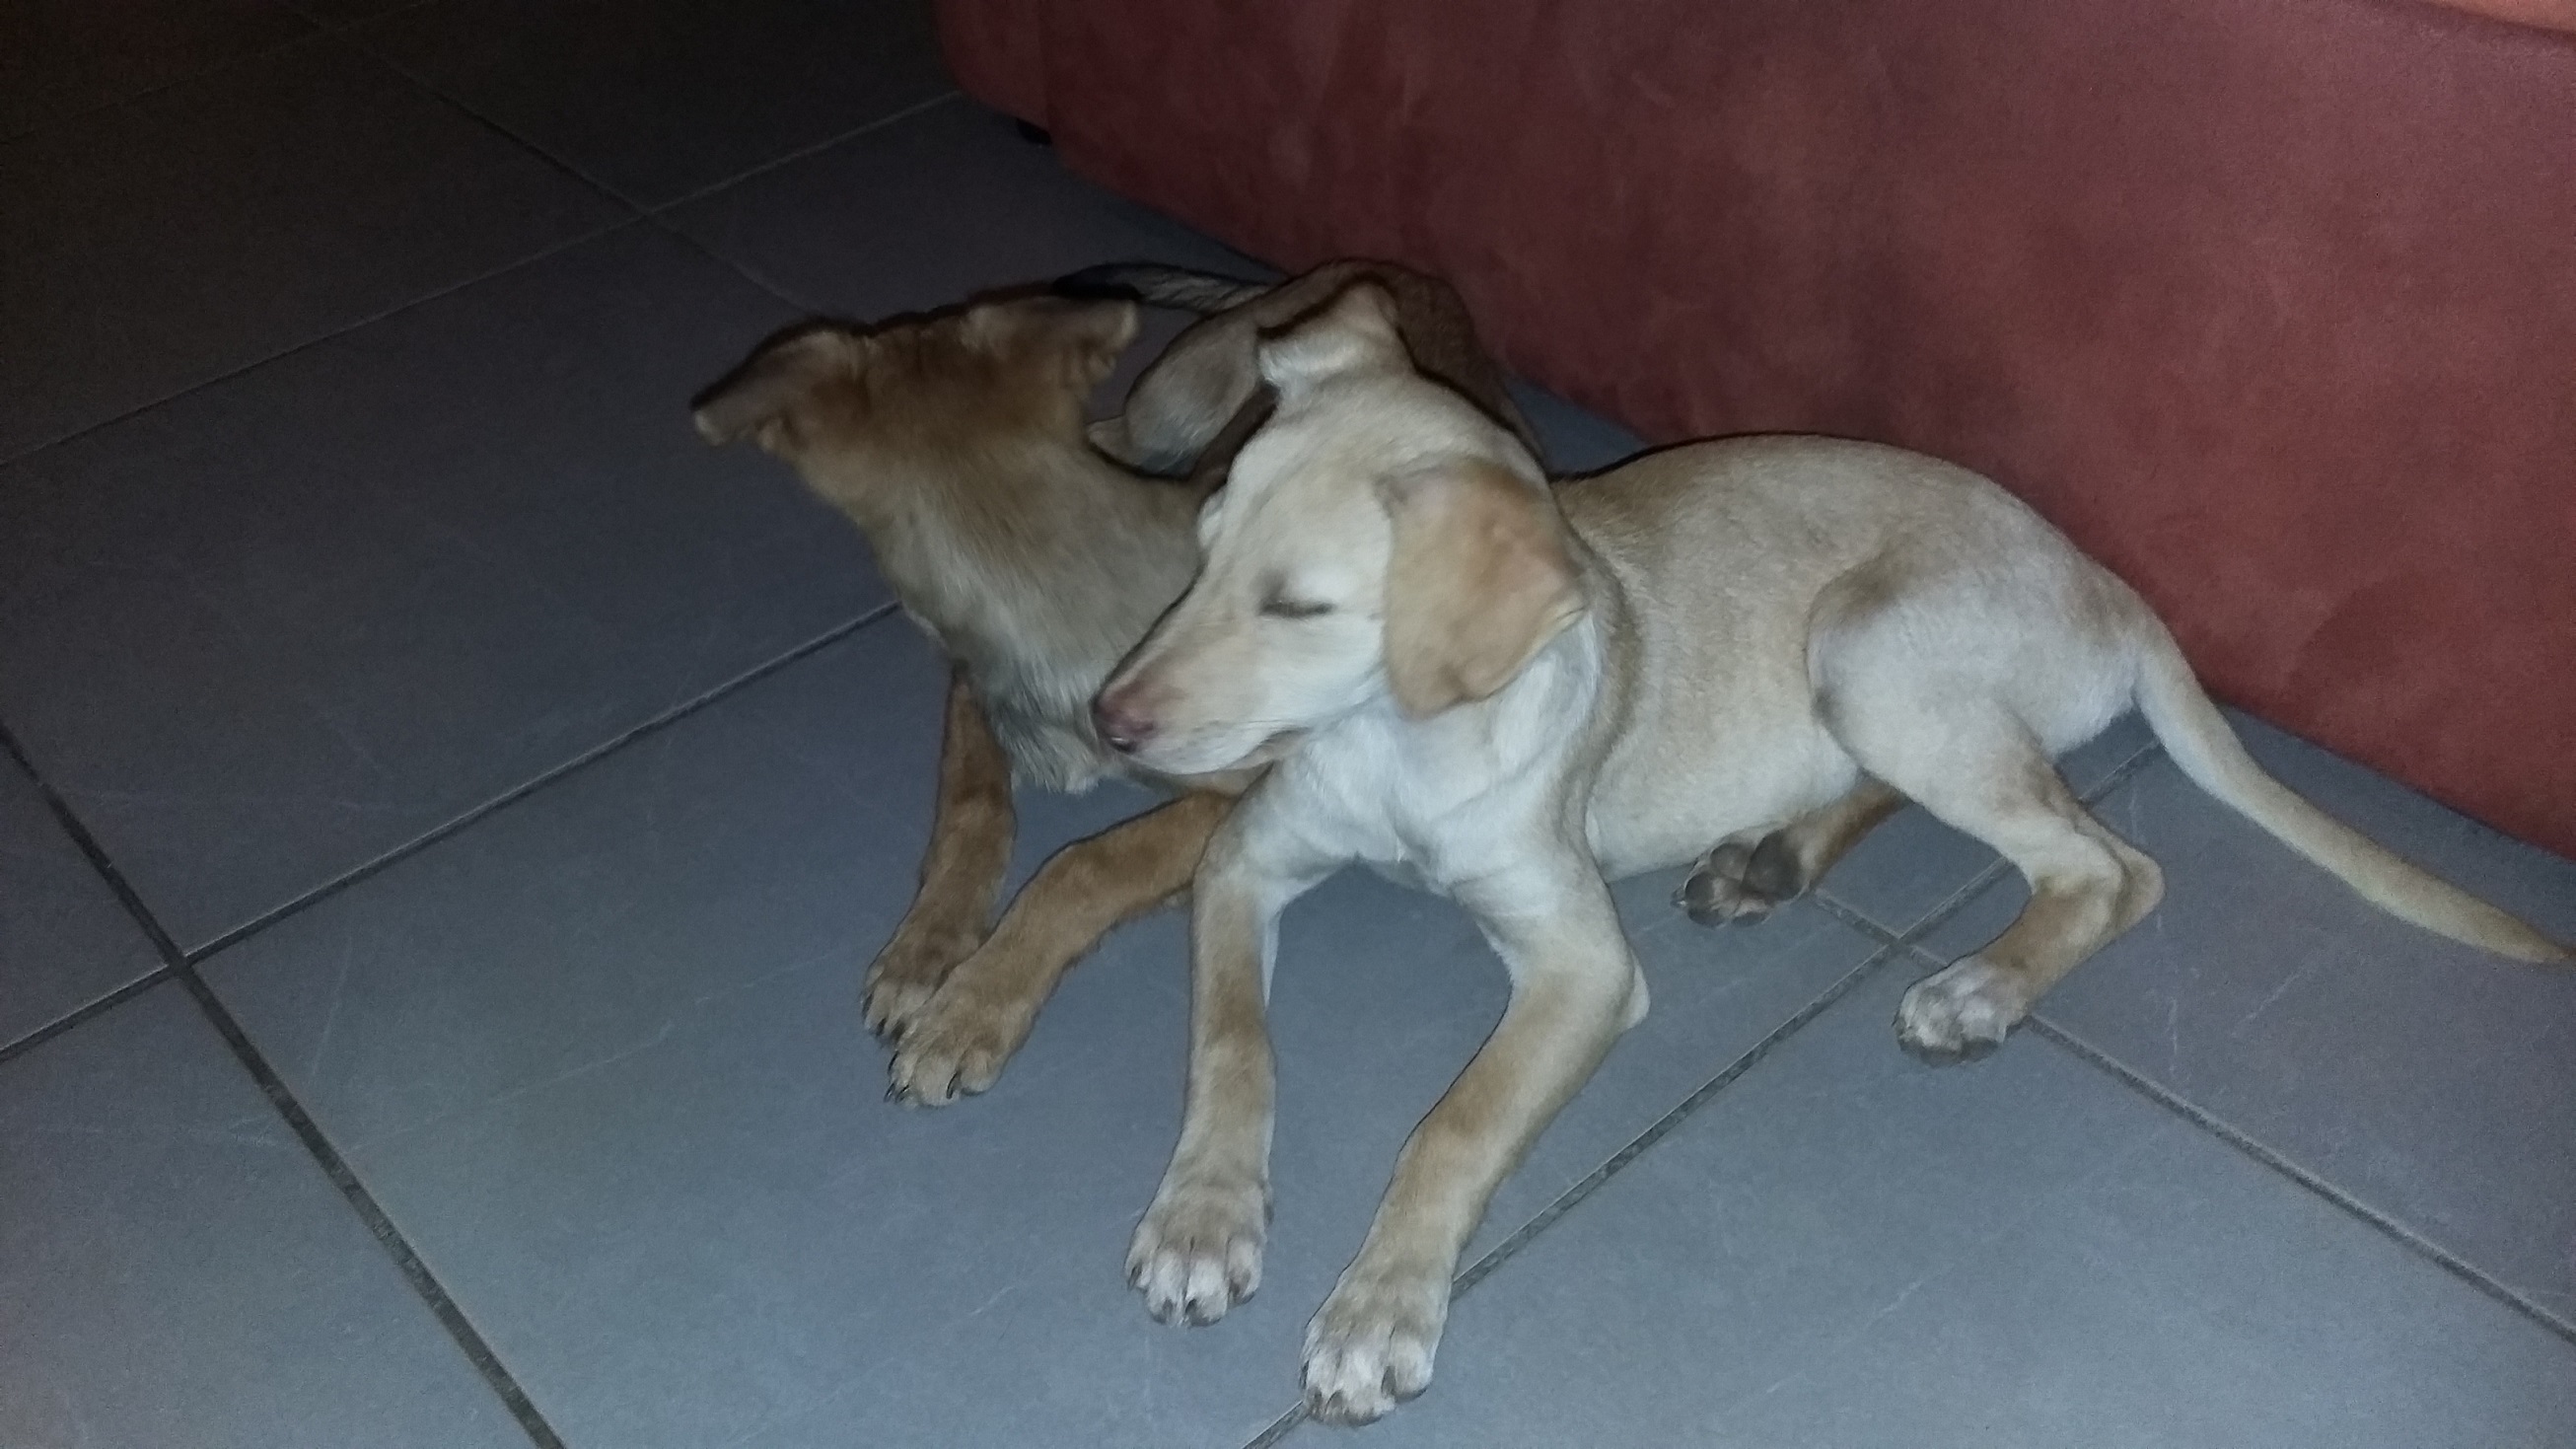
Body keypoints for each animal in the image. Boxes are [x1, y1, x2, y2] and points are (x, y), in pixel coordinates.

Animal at [691, 261, 1539, 1104]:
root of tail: (1396, 271)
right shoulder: (978, 684)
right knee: (1122, 433)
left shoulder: (1251, 786)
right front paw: (925, 949)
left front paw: (973, 1004)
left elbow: (1088, 863)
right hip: (1173, 401)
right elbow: (972, 807)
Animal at [1092, 283, 2569, 1423]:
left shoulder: (1580, 964)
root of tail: (2109, 584)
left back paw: (1976, 988)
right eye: (1200, 547)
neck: (1400, 737)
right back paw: (1772, 858)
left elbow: (1454, 1125)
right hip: (1870, 687)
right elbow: (1230, 1041)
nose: (1106, 721)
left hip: (1868, 651)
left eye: (1302, 608)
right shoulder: (1244, 862)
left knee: (2112, 868)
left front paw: (1377, 1309)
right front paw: (1204, 1216)